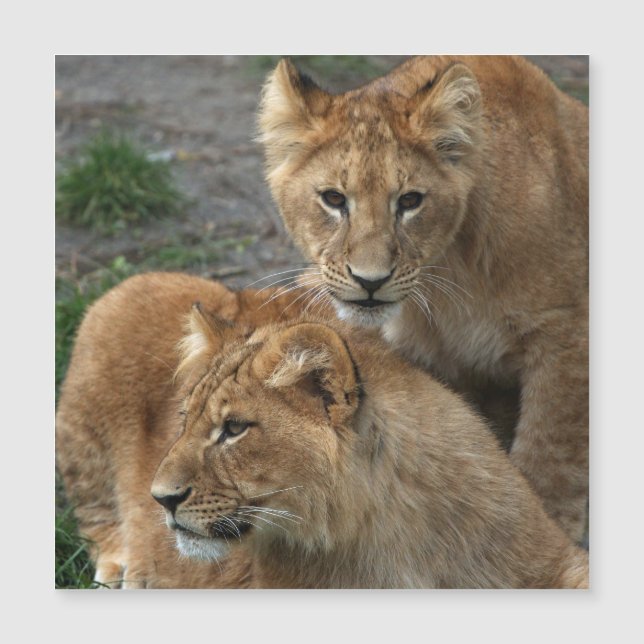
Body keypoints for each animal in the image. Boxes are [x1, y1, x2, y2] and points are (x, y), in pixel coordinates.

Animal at [257, 56, 589, 542]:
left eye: (410, 201)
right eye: (334, 199)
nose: (369, 281)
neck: (449, 271)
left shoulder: (565, 336)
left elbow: (549, 463)